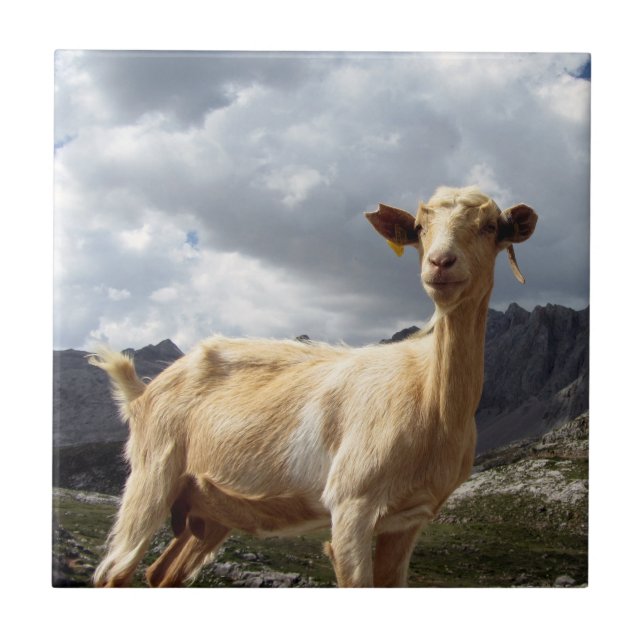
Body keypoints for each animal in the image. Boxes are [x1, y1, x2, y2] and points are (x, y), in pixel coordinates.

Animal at [89, 185, 537, 587]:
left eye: (491, 226)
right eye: (419, 226)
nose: (441, 263)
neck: (429, 396)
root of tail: (143, 393)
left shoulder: (409, 519)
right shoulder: (351, 504)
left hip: (210, 509)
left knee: (161, 574)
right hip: (152, 474)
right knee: (113, 573)